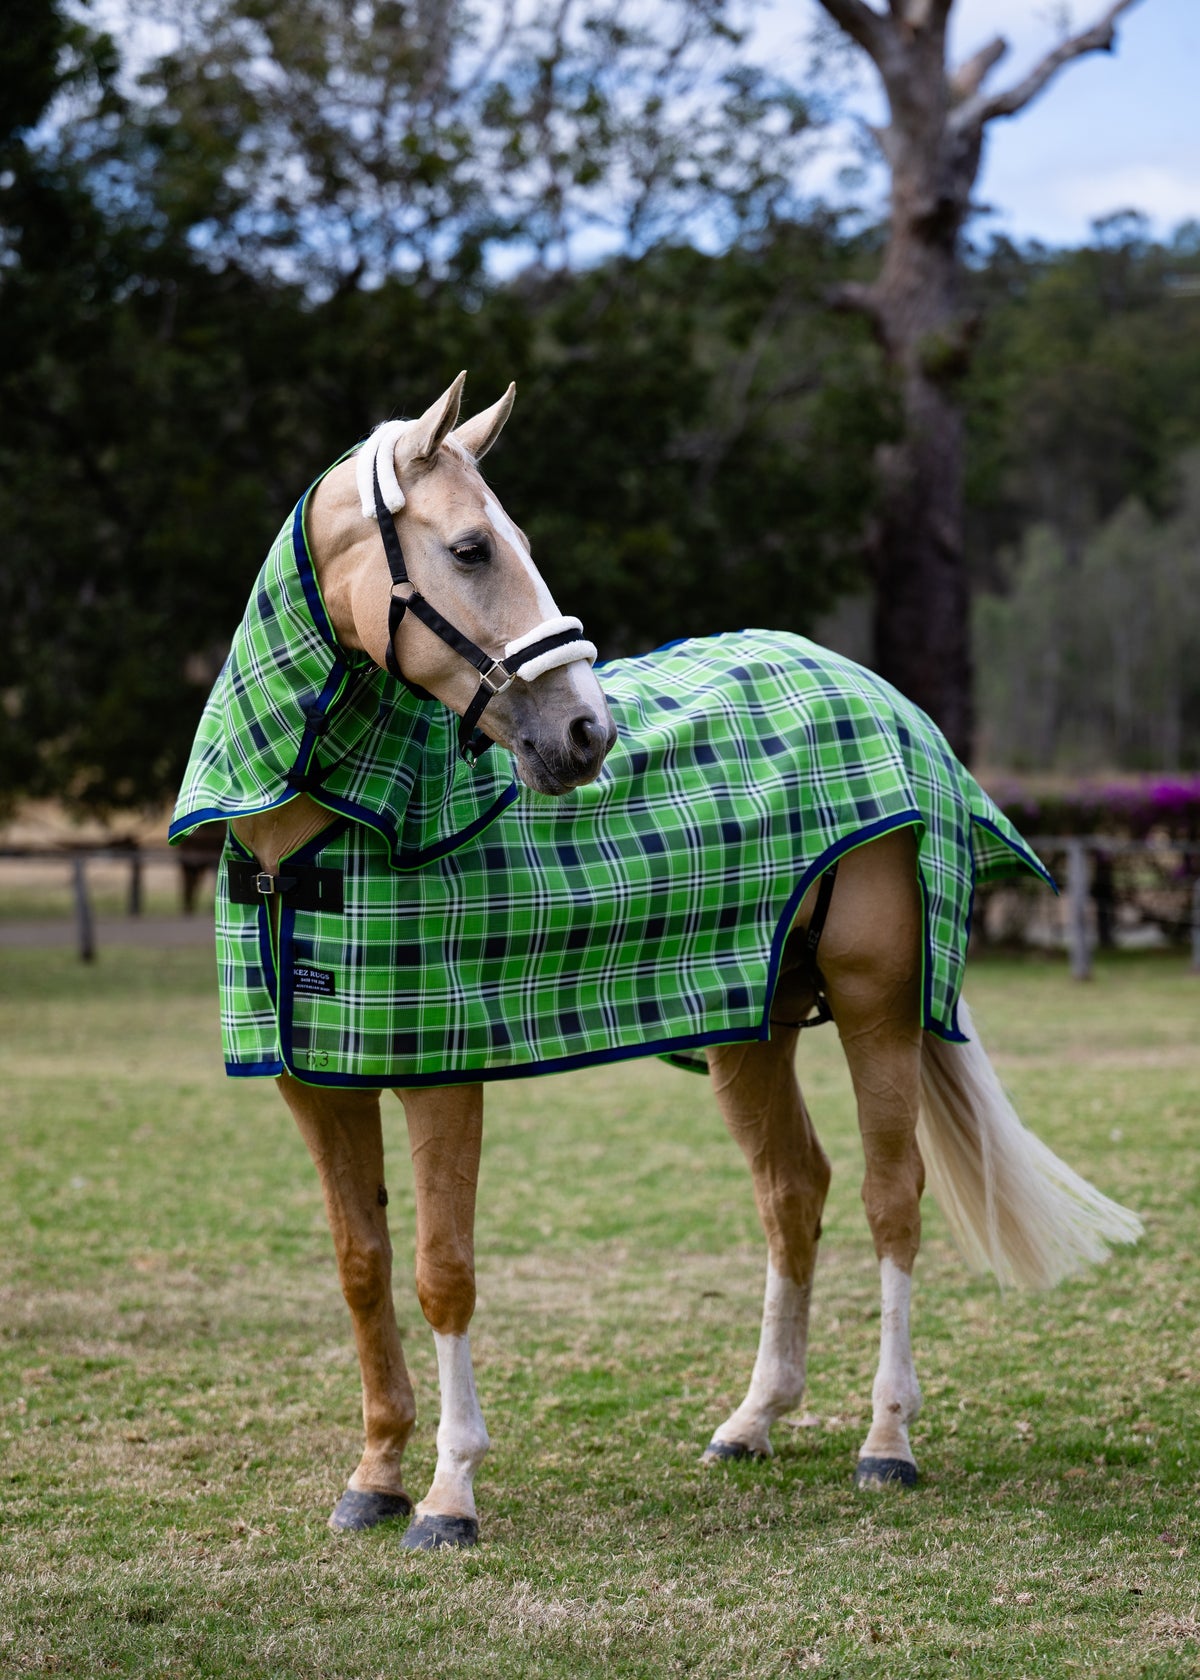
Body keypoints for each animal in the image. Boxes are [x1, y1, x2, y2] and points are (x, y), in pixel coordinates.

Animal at [171, 374, 1141, 1550]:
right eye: (469, 550)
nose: (587, 733)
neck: (319, 843)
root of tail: (875, 691)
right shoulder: (318, 1087)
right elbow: (364, 1269)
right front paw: (375, 1475)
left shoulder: (440, 1076)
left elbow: (444, 1274)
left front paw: (449, 1494)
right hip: (750, 1022)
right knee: (793, 1191)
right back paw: (754, 1421)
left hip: (878, 1007)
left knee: (889, 1198)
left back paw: (887, 1441)